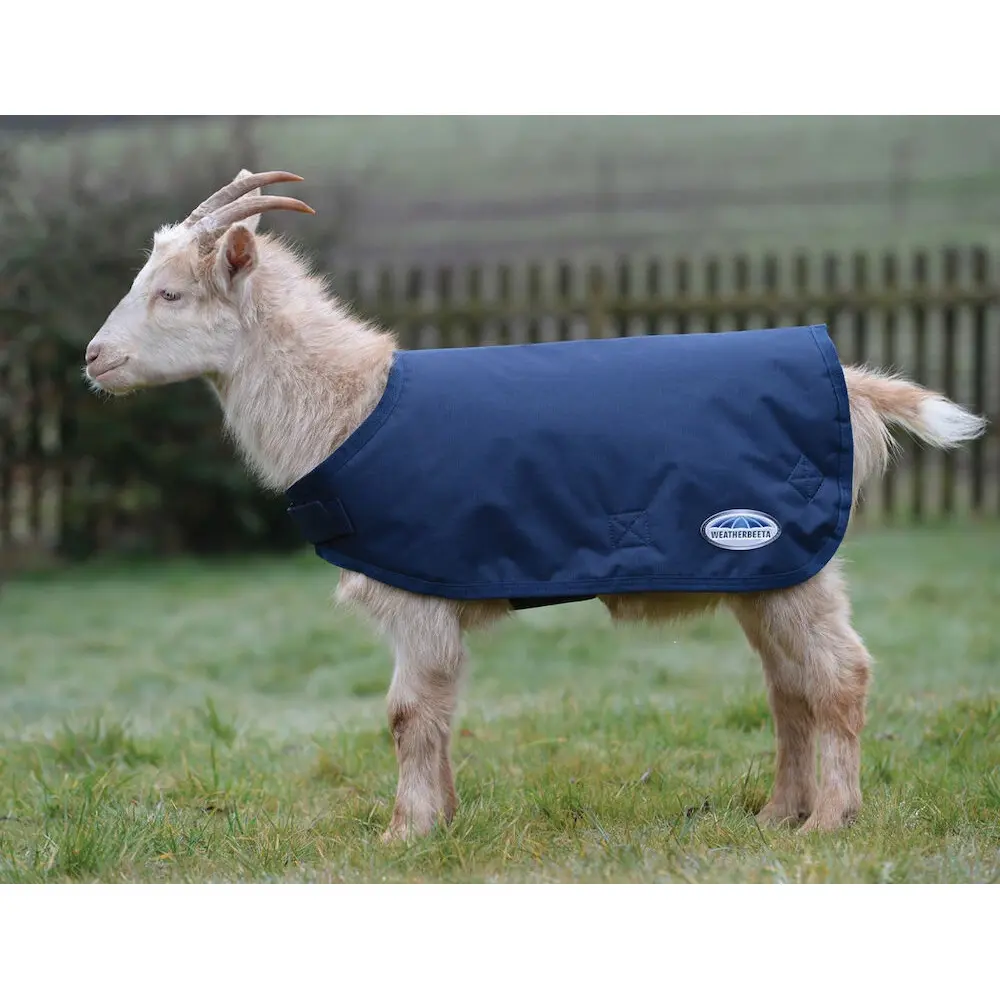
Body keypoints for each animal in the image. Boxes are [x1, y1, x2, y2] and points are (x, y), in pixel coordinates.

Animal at [85, 170, 987, 841]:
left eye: (170, 294)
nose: (94, 358)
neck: (350, 405)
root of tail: (851, 382)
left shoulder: (415, 593)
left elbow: (408, 713)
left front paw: (402, 834)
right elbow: (440, 711)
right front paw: (442, 822)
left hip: (790, 559)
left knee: (838, 675)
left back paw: (830, 821)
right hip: (766, 572)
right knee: (787, 687)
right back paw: (775, 814)